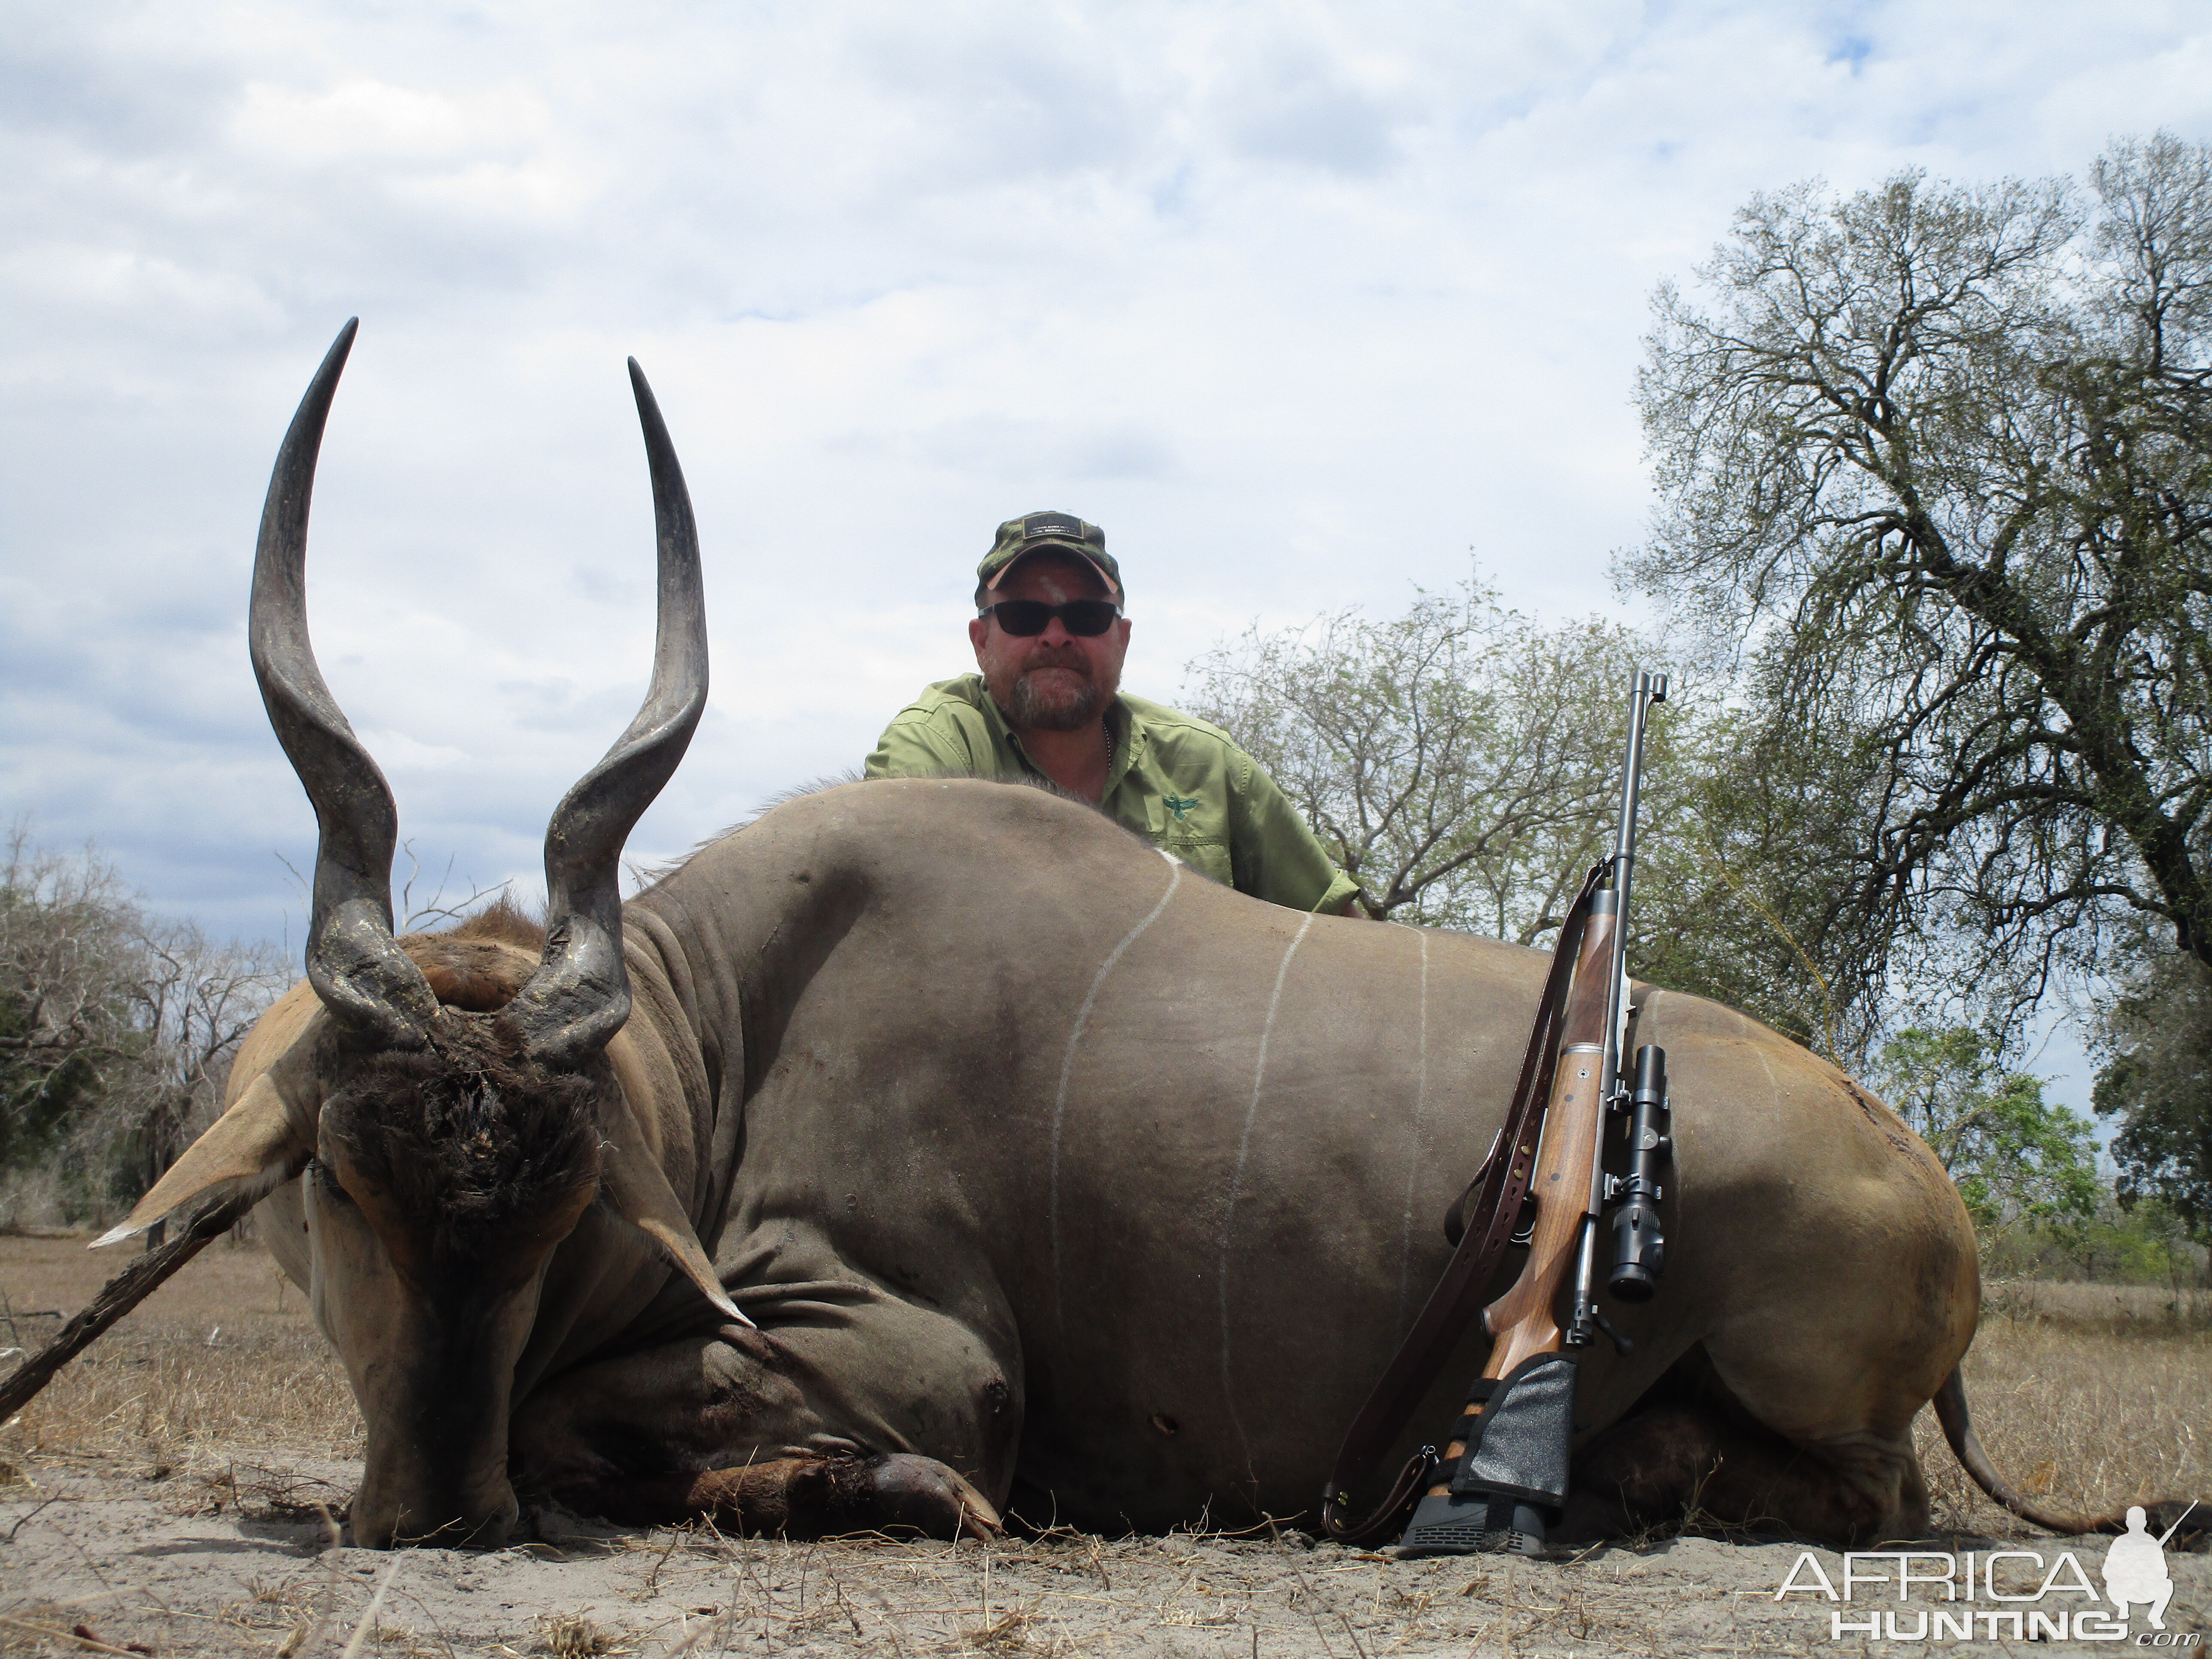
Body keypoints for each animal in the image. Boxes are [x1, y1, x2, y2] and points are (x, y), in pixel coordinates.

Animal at [112, 327, 2203, 1557]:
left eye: (555, 1208)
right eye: (338, 1185)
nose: (427, 1512)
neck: (723, 1042)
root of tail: (1915, 1170)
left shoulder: (912, 1345)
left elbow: (632, 1417)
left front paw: (881, 1488)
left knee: (1859, 1491)